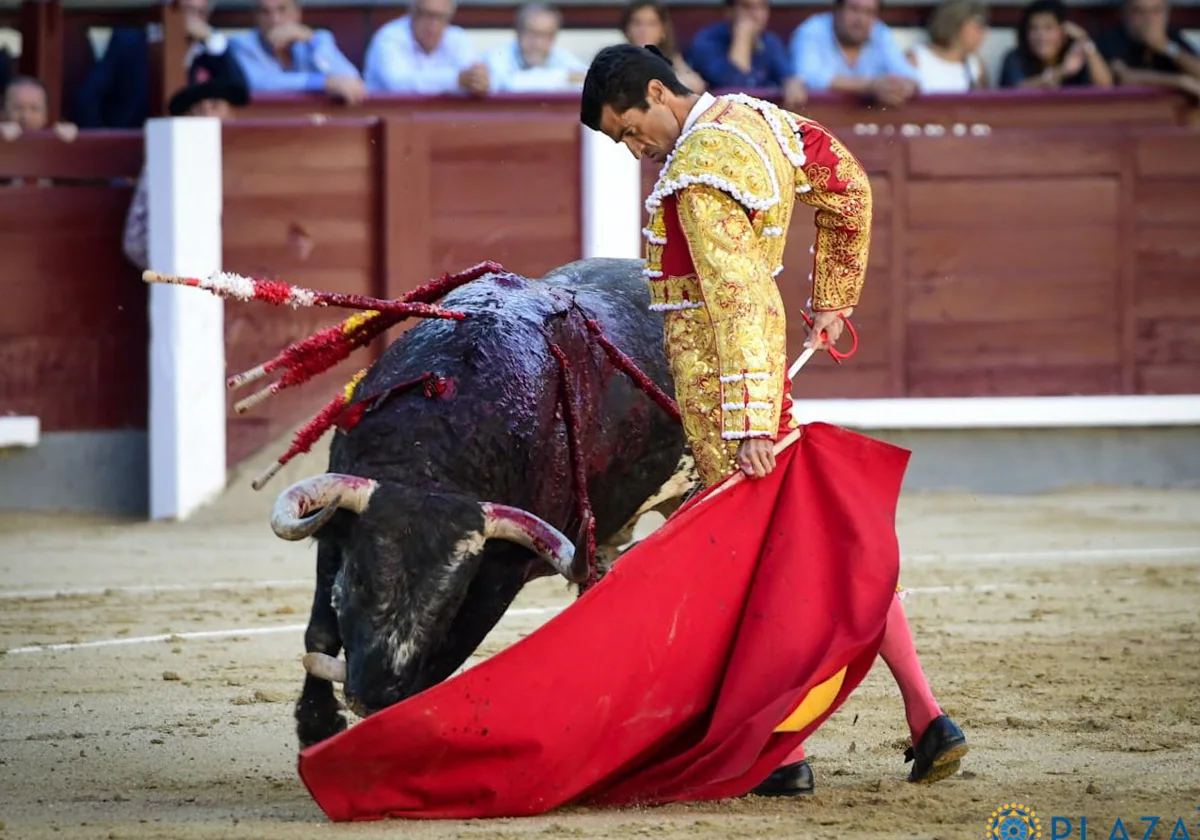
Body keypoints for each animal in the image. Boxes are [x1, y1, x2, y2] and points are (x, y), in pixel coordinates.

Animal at [267, 258, 700, 748]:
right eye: (357, 580)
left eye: (449, 600)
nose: (370, 696)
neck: (431, 456)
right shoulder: (335, 525)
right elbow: (320, 632)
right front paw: (317, 725)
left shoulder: (499, 576)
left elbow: (441, 663)